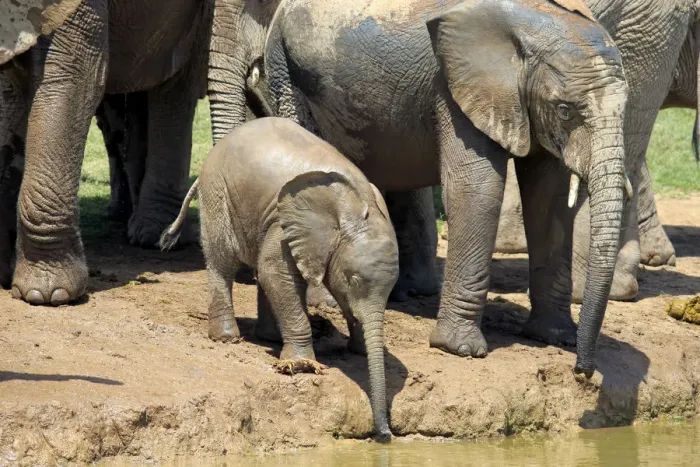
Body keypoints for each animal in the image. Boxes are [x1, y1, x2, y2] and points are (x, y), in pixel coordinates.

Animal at [161, 117, 399, 442]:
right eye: (351, 280)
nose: (384, 436)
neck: (354, 207)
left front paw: (359, 350)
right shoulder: (285, 225)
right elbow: (276, 271)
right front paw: (301, 366)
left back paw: (270, 337)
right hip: (218, 193)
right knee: (223, 262)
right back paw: (227, 338)